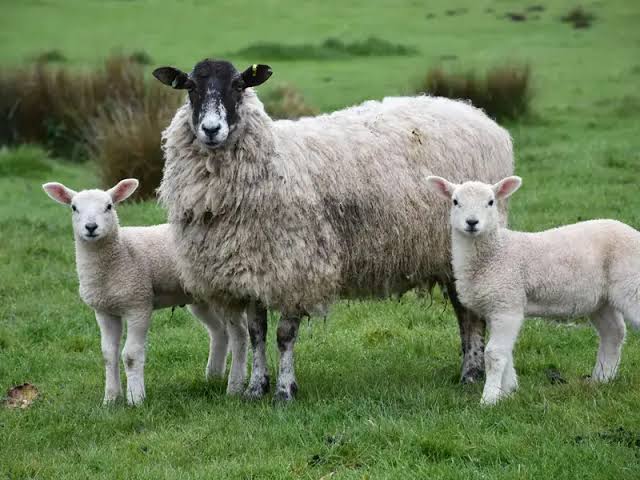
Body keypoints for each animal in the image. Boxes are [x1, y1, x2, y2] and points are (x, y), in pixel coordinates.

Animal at [42, 179, 249, 405]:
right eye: (74, 208)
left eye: (109, 206)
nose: (91, 227)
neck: (120, 253)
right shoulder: (104, 311)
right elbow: (108, 354)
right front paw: (110, 399)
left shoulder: (138, 304)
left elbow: (131, 355)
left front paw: (135, 399)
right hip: (201, 298)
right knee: (220, 332)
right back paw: (213, 376)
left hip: (225, 292)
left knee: (240, 335)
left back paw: (235, 385)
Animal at [153, 58, 514, 401]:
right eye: (190, 87)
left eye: (239, 85)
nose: (211, 129)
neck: (275, 160)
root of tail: (480, 116)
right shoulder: (253, 270)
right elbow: (257, 334)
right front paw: (256, 387)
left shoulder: (296, 267)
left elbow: (284, 336)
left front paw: (285, 391)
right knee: (464, 311)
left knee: (467, 313)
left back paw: (471, 373)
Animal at [426, 175, 640, 405]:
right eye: (455, 202)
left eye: (491, 202)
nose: (472, 222)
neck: (495, 253)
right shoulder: (495, 306)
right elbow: (506, 352)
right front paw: (508, 391)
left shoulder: (507, 304)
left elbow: (494, 354)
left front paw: (489, 398)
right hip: (599, 300)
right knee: (614, 333)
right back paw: (602, 379)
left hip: (632, 284)